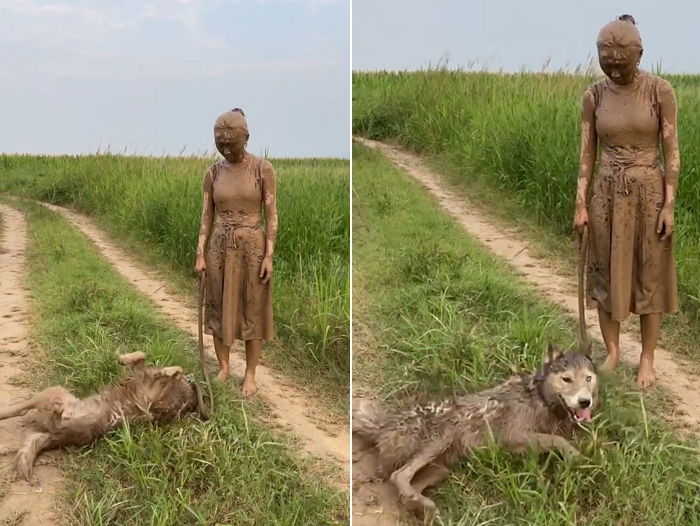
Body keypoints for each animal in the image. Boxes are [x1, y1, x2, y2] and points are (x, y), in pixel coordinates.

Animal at [0, 352, 206, 484]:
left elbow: (161, 366)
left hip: (60, 402)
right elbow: (144, 358)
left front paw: (170, 371)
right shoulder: (145, 380)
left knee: (22, 411)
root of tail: (53, 436)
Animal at [352, 344, 600, 516]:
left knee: (405, 488)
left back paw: (424, 508)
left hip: (442, 468)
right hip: (443, 437)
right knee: (398, 476)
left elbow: (561, 439)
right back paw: (423, 505)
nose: (585, 402)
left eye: (588, 378)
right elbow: (557, 440)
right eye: (567, 379)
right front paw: (576, 457)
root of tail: (385, 423)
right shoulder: (513, 437)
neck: (540, 398)